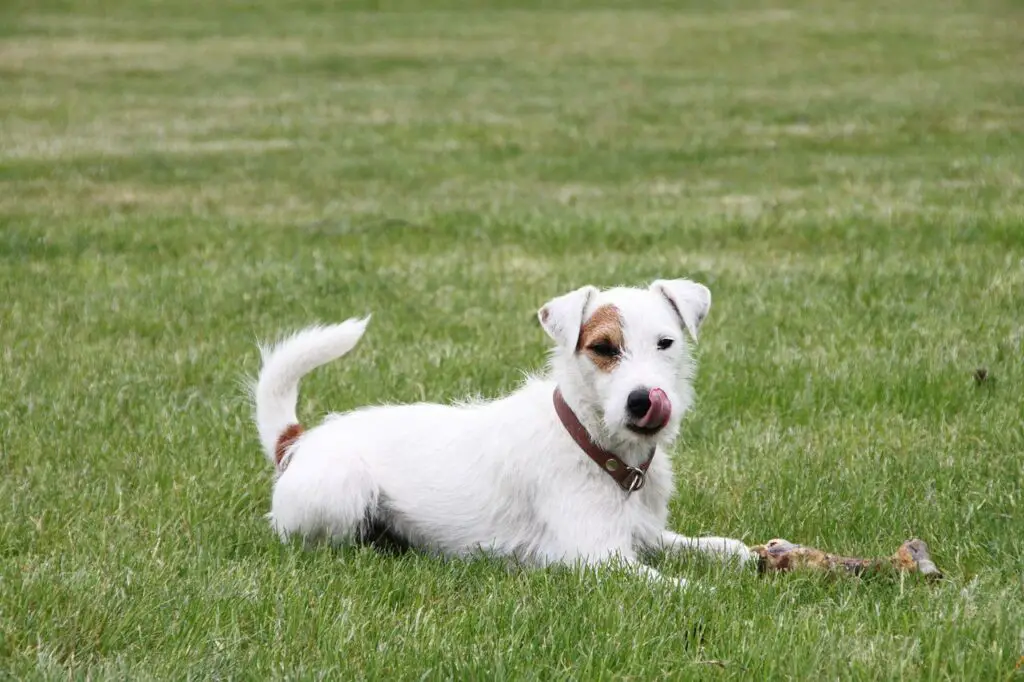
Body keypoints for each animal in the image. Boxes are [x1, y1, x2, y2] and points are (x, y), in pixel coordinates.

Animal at [252, 278, 757, 585]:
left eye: (665, 343)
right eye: (603, 348)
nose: (642, 400)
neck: (592, 442)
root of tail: (298, 441)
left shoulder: (645, 534)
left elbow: (713, 546)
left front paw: (750, 556)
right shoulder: (598, 556)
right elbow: (675, 586)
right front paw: (715, 593)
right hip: (342, 488)